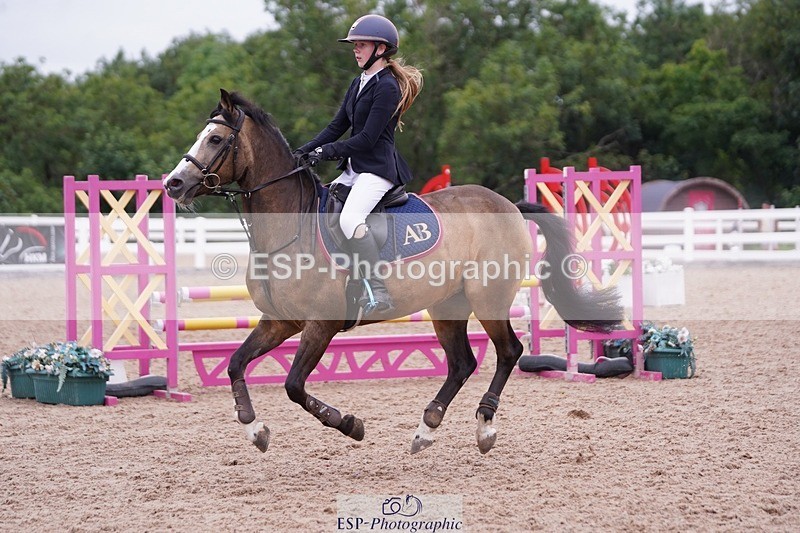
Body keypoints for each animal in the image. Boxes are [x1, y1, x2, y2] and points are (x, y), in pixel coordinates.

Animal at [163, 89, 622, 455]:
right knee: (462, 364)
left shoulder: (320, 324)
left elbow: (293, 385)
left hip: (487, 298)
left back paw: (484, 426)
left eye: (216, 139)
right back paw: (426, 429)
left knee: (509, 351)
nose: (173, 184)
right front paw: (255, 429)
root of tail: (507, 203)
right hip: (448, 305)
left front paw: (349, 424)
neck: (288, 229)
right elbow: (235, 364)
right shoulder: (279, 321)